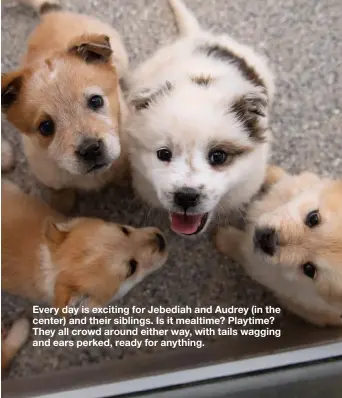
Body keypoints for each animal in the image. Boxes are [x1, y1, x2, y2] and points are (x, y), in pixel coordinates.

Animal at [1, 0, 130, 211]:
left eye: (96, 101)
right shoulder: (49, 178)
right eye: (46, 127)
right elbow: (60, 197)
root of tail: (50, 14)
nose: (90, 149)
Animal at [216, 165, 342, 326]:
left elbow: (239, 245)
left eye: (309, 269)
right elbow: (282, 178)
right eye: (313, 218)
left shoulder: (255, 264)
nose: (268, 240)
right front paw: (268, 171)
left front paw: (222, 238)